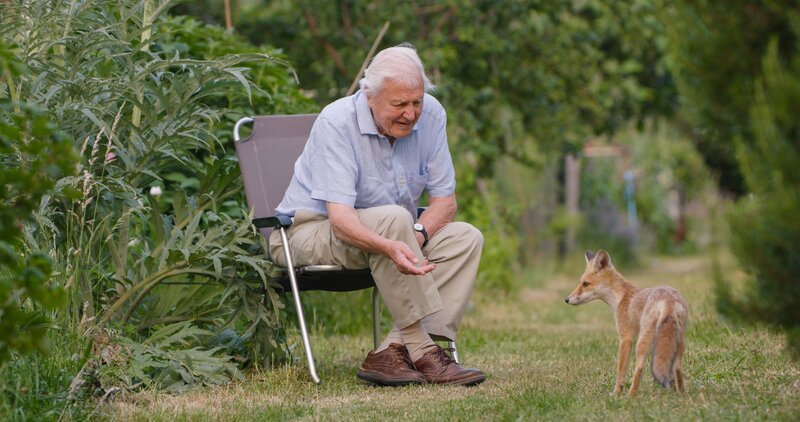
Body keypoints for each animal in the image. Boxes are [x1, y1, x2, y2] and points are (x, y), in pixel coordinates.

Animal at [565, 249, 689, 397]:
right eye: (581, 283)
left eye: (585, 284)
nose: (567, 299)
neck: (620, 297)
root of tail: (668, 300)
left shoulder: (625, 338)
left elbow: (621, 371)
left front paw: (616, 393)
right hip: (678, 342)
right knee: (677, 368)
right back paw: (682, 393)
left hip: (641, 343)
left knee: (639, 368)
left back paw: (631, 396)